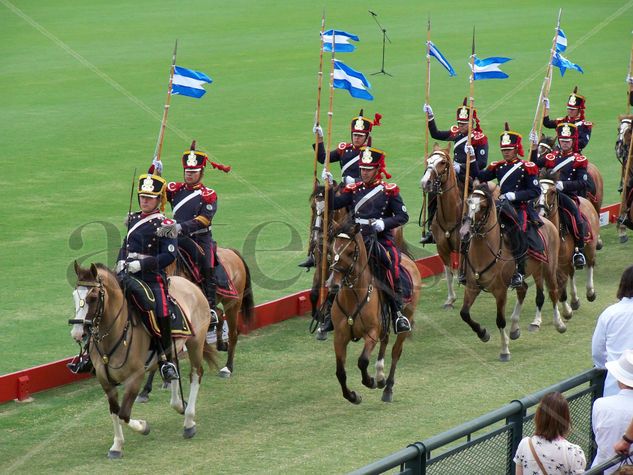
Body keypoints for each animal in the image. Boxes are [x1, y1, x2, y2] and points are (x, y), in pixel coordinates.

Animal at [68, 260, 214, 458]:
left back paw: (189, 421)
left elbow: (124, 413)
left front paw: (143, 427)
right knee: (173, 368)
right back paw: (178, 404)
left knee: (196, 374)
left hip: (195, 342)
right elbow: (114, 411)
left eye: (93, 298)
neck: (115, 332)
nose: (77, 333)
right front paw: (117, 445)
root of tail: (190, 285)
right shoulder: (105, 380)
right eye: (74, 296)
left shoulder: (135, 377)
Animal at [326, 221, 420, 404]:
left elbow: (362, 361)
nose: (333, 285)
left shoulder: (371, 332)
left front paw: (369, 381)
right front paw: (352, 396)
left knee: (396, 351)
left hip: (406, 316)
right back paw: (381, 376)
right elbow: (340, 372)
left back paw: (388, 387)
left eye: (350, 252)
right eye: (332, 251)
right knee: (386, 340)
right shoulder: (339, 336)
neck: (353, 296)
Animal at [456, 186, 560, 360]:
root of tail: (547, 222)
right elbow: (464, 313)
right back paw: (515, 328)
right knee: (523, 289)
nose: (464, 233)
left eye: (482, 207)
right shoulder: (471, 287)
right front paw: (483, 333)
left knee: (552, 292)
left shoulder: (500, 291)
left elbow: (500, 321)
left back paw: (559, 323)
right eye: (468, 202)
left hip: (548, 268)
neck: (485, 251)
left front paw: (504, 350)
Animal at [532, 171, 596, 320]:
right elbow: (557, 287)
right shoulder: (550, 267)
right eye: (537, 191)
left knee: (590, 264)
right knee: (572, 273)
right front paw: (567, 308)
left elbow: (561, 284)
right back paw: (574, 300)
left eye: (552, 191)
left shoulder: (561, 264)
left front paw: (566, 311)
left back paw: (590, 292)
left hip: (589, 246)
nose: (541, 213)